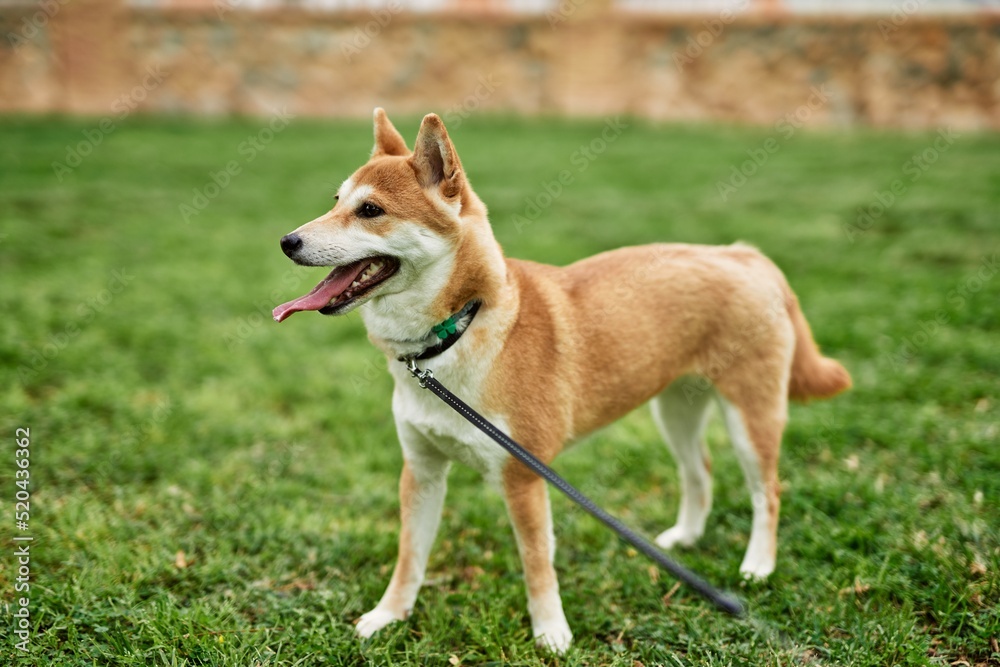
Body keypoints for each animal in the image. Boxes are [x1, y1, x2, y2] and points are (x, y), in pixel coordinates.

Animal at [274, 109, 852, 652]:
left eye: (370, 210)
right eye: (335, 200)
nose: (287, 240)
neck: (457, 331)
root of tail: (743, 253)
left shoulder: (524, 477)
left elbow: (537, 564)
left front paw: (551, 632)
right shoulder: (421, 471)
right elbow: (409, 557)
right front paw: (388, 616)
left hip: (751, 416)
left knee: (767, 491)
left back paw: (758, 566)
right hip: (675, 409)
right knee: (700, 472)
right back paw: (684, 538)